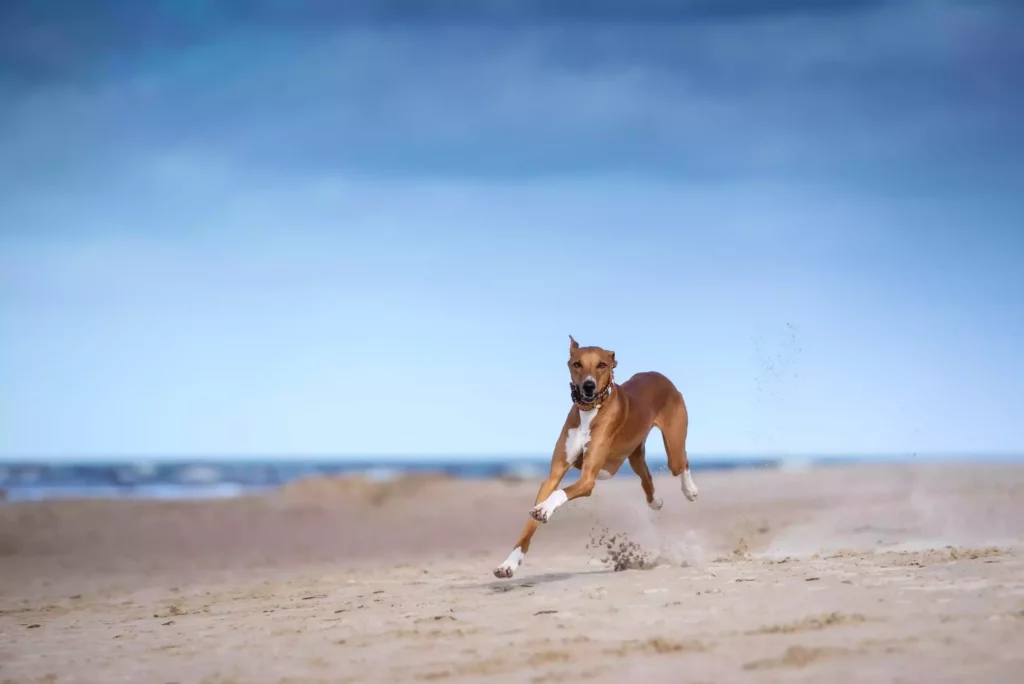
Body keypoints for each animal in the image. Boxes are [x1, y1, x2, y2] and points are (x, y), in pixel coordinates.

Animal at [493, 335, 700, 577]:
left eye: (601, 365)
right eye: (577, 364)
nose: (588, 386)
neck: (589, 410)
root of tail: (659, 375)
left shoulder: (588, 479)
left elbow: (560, 493)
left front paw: (544, 509)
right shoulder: (553, 475)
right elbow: (530, 524)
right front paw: (509, 563)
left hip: (673, 445)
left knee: (681, 462)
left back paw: (690, 490)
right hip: (634, 454)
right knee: (646, 477)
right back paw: (656, 502)